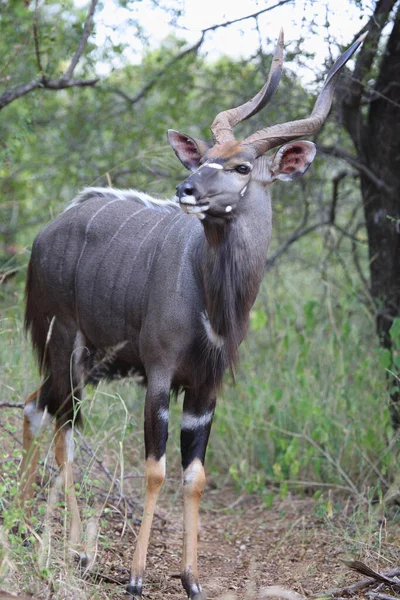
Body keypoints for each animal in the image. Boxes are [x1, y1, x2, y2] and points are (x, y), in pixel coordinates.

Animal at [21, 34, 366, 600]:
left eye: (243, 167)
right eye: (203, 157)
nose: (187, 189)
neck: (211, 301)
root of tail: (45, 234)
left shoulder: (207, 387)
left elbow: (195, 475)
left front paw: (191, 578)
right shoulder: (160, 375)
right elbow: (156, 469)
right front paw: (136, 577)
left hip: (86, 364)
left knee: (38, 408)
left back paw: (30, 525)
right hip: (63, 346)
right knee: (61, 426)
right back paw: (72, 548)